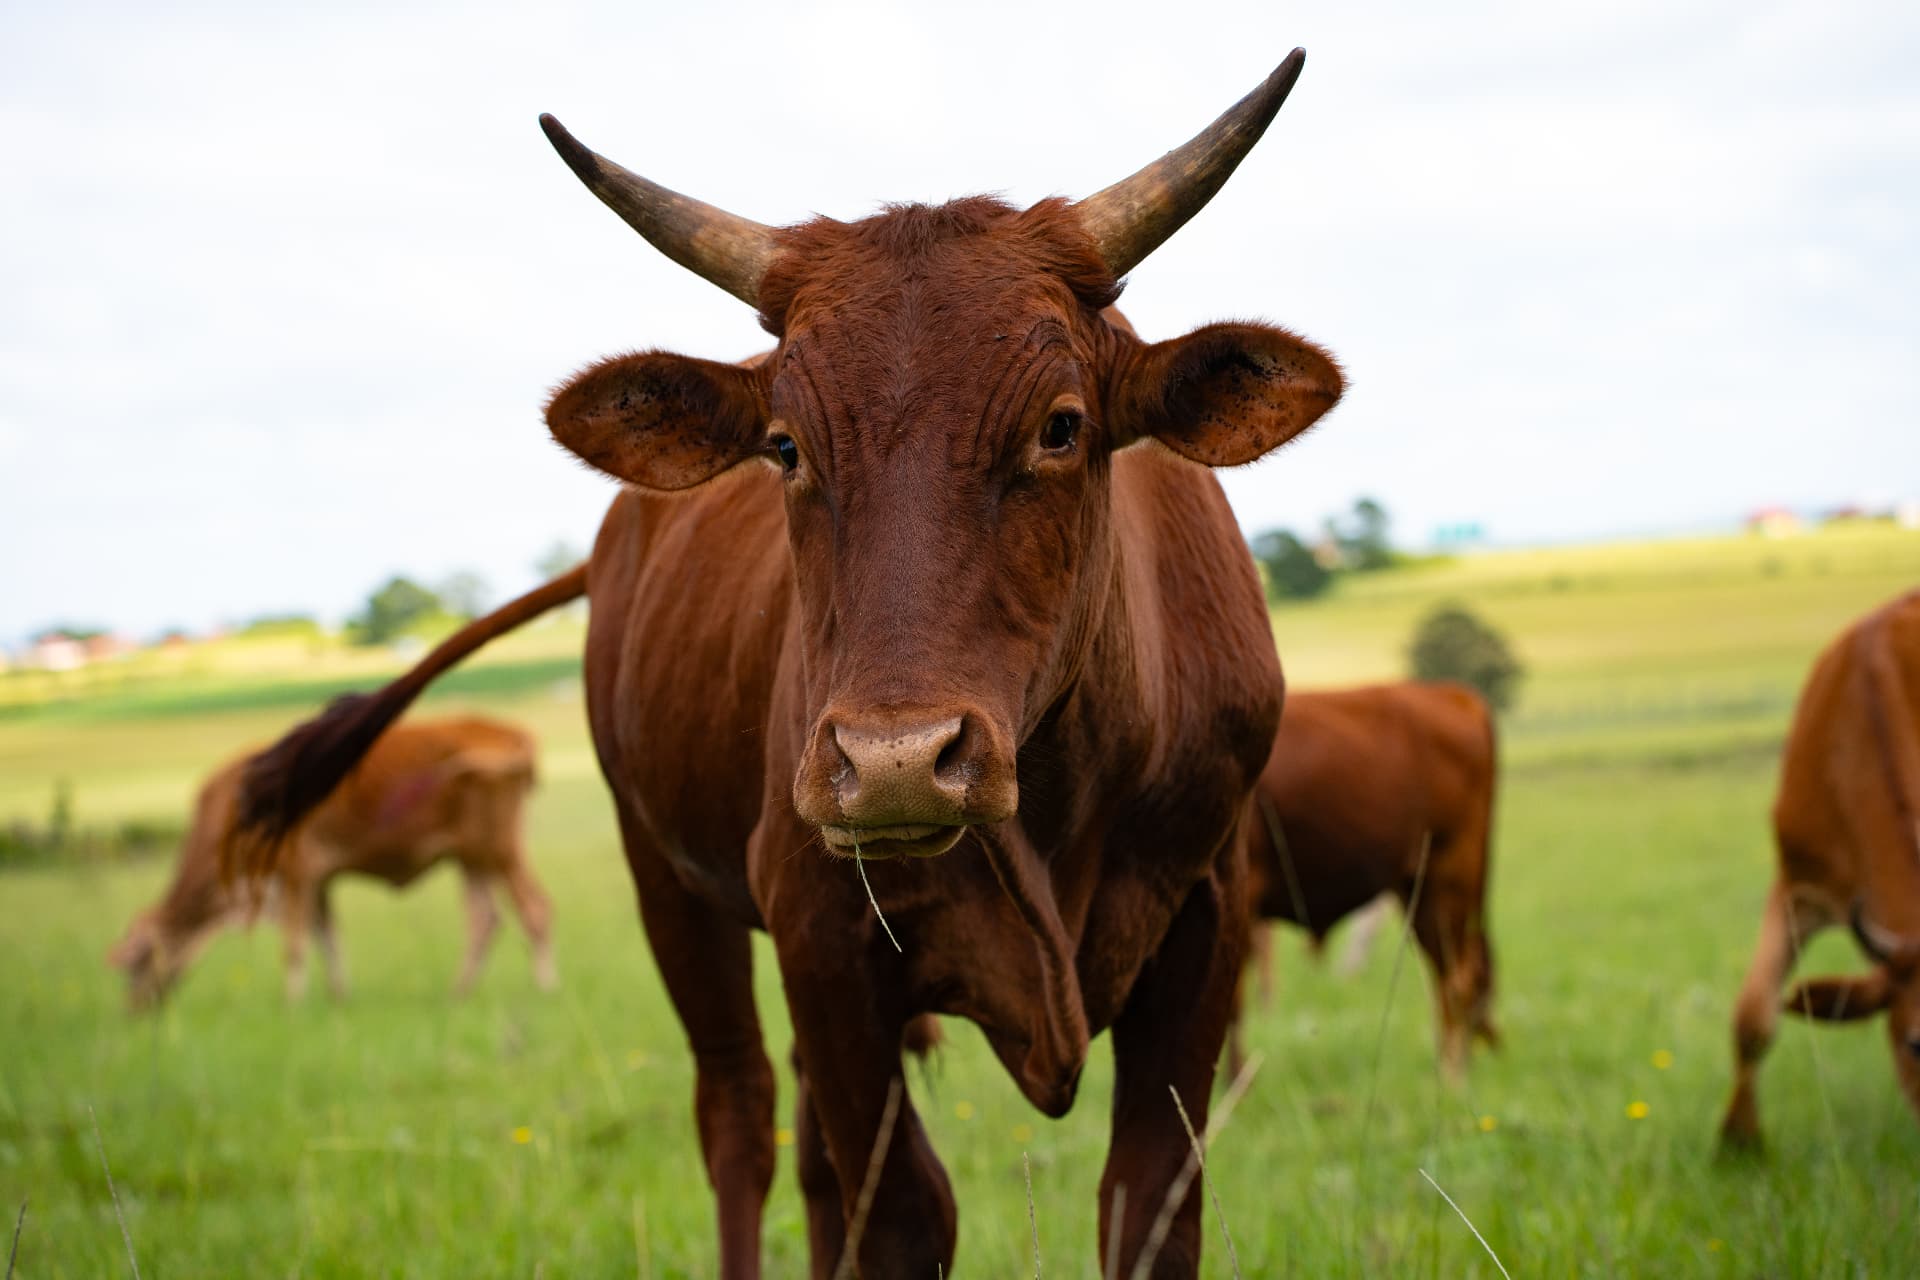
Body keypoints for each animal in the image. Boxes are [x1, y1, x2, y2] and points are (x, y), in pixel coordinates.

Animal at [110, 715, 553, 1009]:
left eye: (136, 965)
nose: (132, 1012)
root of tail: (510, 730)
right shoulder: (319, 882)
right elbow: (327, 939)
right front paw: (340, 998)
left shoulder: (295, 874)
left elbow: (295, 945)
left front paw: (292, 1006)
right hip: (470, 858)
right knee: (485, 920)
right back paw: (458, 993)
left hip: (498, 850)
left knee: (535, 910)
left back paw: (545, 988)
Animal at [231, 50, 1343, 1278]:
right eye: (785, 445)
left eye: (1060, 426)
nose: (897, 761)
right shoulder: (824, 940)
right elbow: (901, 1209)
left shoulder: (1205, 924)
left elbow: (1145, 1202)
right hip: (671, 884)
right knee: (739, 1116)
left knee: (808, 1158)